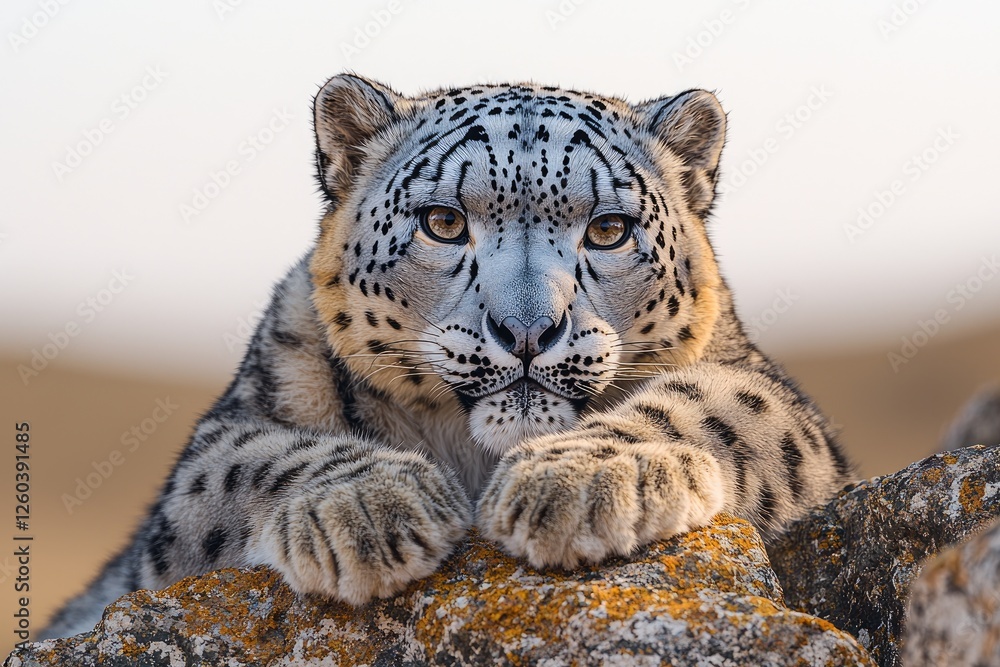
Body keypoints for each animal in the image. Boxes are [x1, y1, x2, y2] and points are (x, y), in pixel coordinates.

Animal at [41, 73, 854, 638]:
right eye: (443, 221)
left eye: (609, 229)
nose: (526, 329)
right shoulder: (219, 442)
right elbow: (259, 455)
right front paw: (369, 511)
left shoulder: (775, 400)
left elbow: (711, 403)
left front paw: (580, 483)